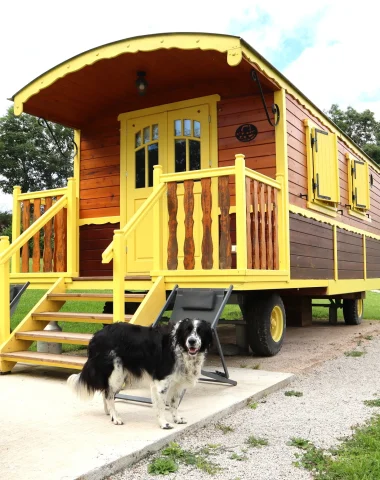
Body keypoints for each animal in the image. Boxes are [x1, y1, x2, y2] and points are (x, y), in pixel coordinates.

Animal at [67, 318, 212, 428]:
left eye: (200, 331)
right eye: (187, 331)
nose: (192, 341)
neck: (180, 347)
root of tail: (96, 335)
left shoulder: (178, 383)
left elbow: (174, 403)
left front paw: (177, 418)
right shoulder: (161, 383)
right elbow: (161, 406)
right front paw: (164, 423)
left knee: (106, 391)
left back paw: (109, 413)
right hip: (117, 374)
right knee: (108, 395)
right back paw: (116, 417)